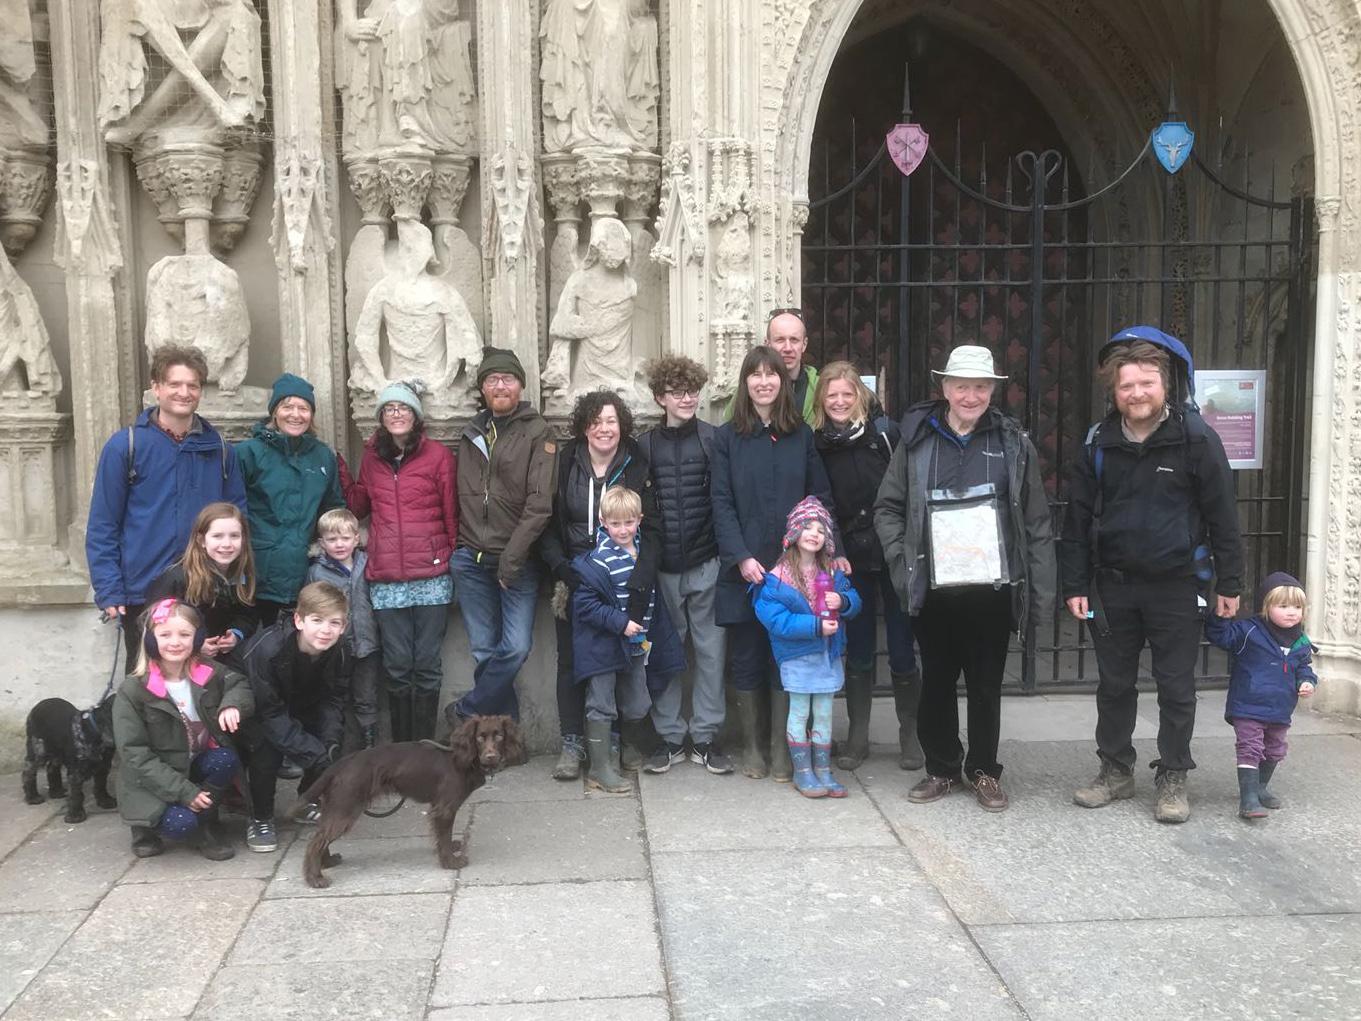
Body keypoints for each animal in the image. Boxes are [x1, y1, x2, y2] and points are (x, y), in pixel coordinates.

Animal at [300, 713, 522, 893]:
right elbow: (443, 836)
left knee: (320, 836)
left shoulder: (438, 807)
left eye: (499, 736)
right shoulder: (444, 808)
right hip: (345, 808)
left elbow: (442, 836)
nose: (490, 756)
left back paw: (326, 862)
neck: (461, 757)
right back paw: (315, 878)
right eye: (479, 737)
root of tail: (343, 762)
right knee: (314, 841)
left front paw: (450, 848)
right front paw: (450, 861)